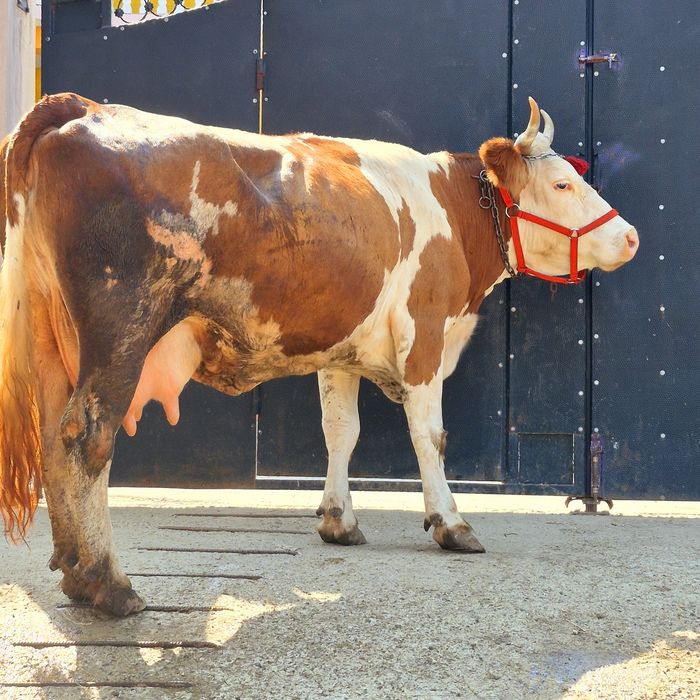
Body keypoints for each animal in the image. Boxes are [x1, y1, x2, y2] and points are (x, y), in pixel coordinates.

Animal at [0, 94, 638, 616]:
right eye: (562, 184)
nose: (630, 237)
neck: (451, 210)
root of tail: (85, 108)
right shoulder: (425, 334)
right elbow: (429, 436)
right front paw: (450, 523)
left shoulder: (341, 352)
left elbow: (341, 432)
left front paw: (338, 519)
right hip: (121, 330)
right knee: (88, 439)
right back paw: (107, 583)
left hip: (55, 344)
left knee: (56, 439)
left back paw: (75, 572)